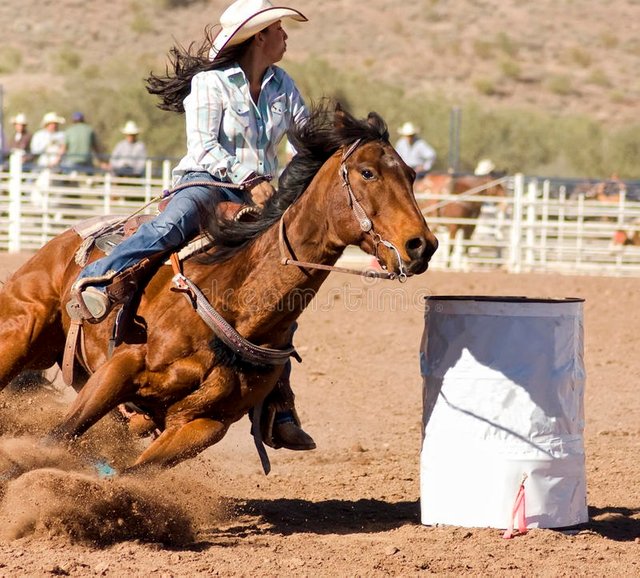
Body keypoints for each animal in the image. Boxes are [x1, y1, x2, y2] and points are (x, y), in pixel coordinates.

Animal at [0, 106, 438, 474]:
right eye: (368, 173)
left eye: (412, 174)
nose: (422, 245)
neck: (235, 300)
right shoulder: (118, 369)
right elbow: (58, 436)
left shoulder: (204, 424)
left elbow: (133, 473)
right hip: (18, 336)